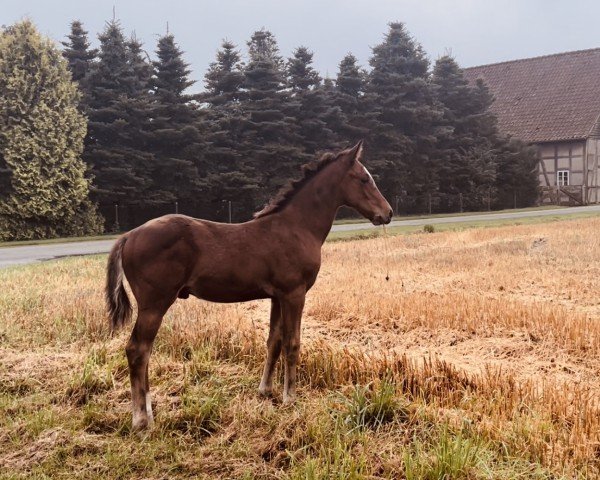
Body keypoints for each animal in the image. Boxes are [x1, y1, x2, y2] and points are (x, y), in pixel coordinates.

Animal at [105, 141, 392, 430]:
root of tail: (129, 235)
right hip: (155, 303)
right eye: (364, 178)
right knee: (137, 350)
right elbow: (292, 343)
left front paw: (266, 390)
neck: (297, 227)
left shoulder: (277, 296)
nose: (387, 213)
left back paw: (147, 413)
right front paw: (290, 398)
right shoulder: (294, 294)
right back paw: (141, 419)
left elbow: (273, 341)